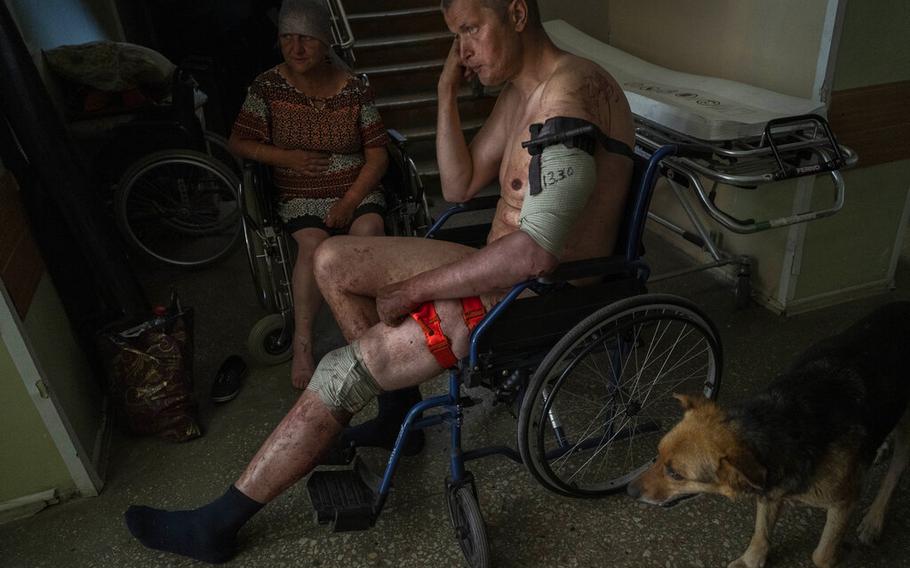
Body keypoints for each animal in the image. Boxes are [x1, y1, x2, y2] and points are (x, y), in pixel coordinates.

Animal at [632, 304, 910, 568]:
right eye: (656, 455)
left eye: (676, 474)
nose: (629, 491)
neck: (779, 426)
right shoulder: (769, 492)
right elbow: (761, 533)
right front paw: (752, 559)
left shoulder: (843, 502)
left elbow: (821, 555)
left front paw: (839, 555)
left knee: (895, 474)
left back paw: (874, 520)